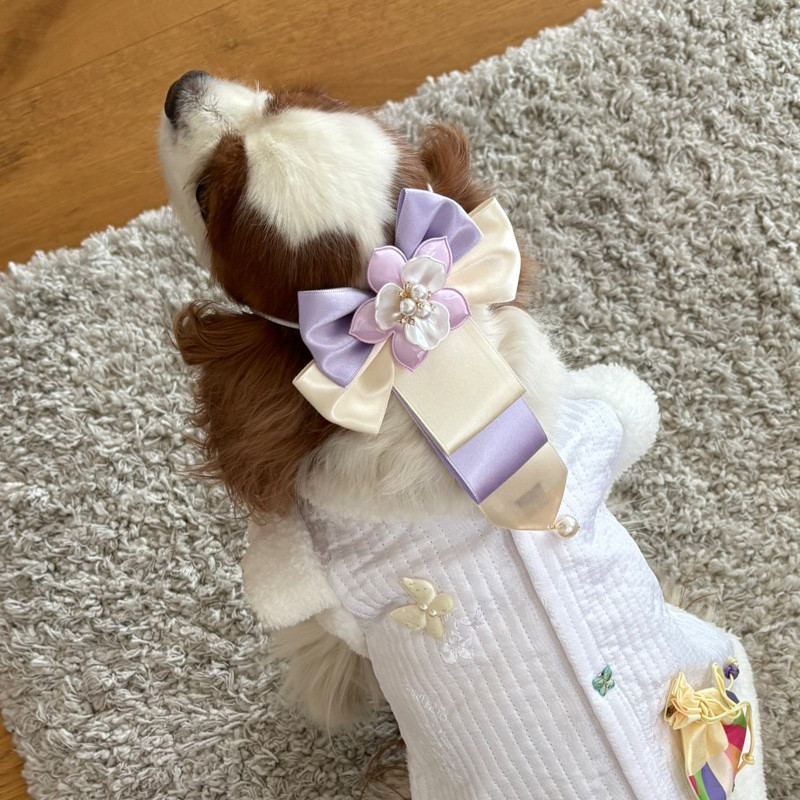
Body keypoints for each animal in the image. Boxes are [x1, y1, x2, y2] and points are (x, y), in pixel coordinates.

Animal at [159, 71, 768, 800]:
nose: (179, 87)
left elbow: (306, 635)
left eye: (206, 195)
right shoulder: (597, 418)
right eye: (287, 94)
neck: (436, 383)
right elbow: (630, 407)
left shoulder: (305, 577)